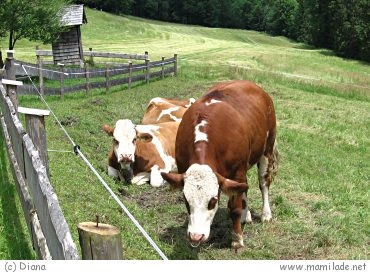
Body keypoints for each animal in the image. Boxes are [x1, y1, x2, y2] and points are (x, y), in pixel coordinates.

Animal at [160, 79, 278, 250]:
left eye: (213, 201)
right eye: (186, 200)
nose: (196, 236)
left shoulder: (237, 171)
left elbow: (234, 208)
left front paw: (237, 239)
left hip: (267, 150)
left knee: (264, 183)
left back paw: (266, 214)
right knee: (244, 187)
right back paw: (246, 215)